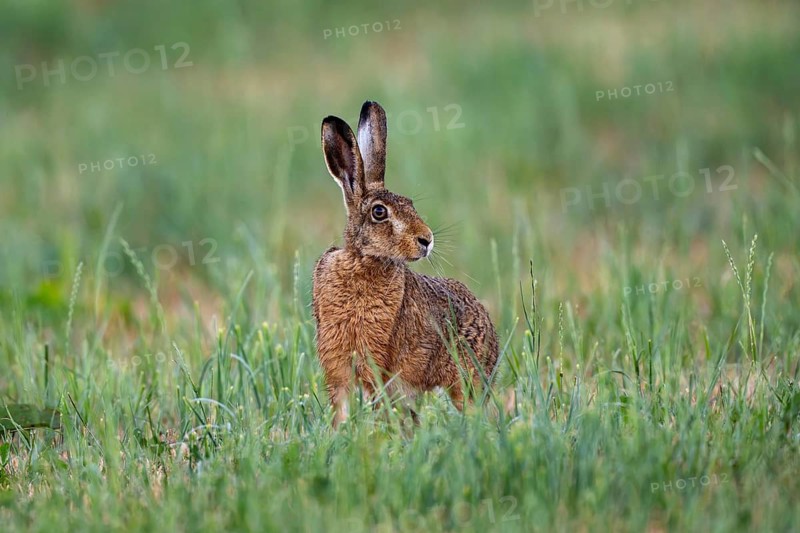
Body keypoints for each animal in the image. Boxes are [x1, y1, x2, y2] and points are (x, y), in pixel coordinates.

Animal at [312, 100, 498, 427]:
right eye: (379, 212)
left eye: (411, 204)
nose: (427, 240)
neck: (361, 261)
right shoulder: (337, 363)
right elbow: (341, 404)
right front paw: (339, 432)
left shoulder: (375, 359)